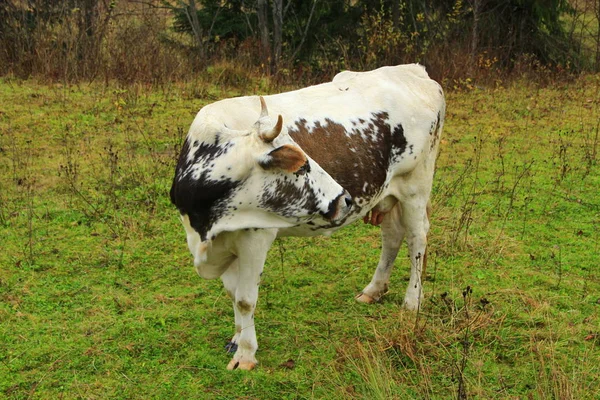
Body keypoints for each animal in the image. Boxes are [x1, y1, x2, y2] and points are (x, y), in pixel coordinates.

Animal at [170, 64, 446, 370]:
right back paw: (373, 289)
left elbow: (245, 299)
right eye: (301, 166)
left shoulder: (255, 236)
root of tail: (412, 70)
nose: (343, 198)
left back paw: (412, 301)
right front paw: (236, 340)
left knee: (417, 240)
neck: (206, 229)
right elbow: (232, 293)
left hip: (415, 186)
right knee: (392, 236)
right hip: (387, 192)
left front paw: (246, 354)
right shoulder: (224, 240)